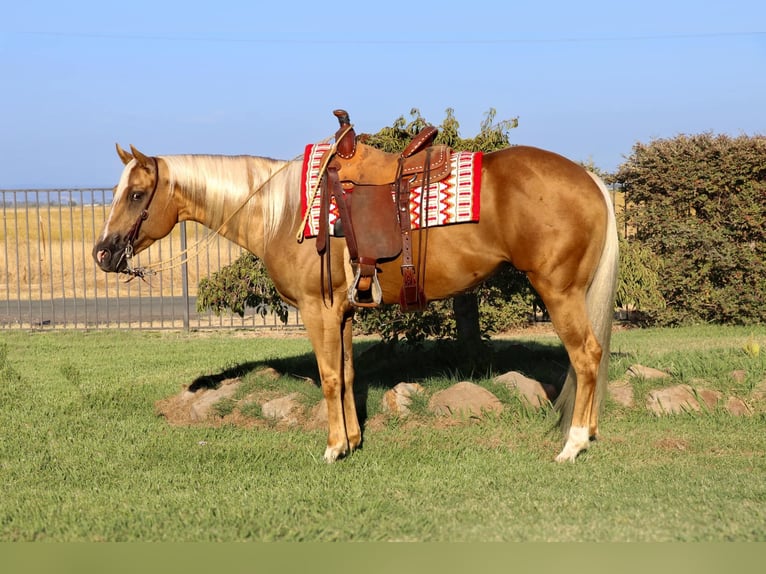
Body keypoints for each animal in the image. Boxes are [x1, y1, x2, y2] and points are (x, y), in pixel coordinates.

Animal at [93, 118, 618, 464]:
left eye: (136, 195)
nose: (102, 253)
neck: (282, 212)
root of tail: (591, 180)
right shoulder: (342, 312)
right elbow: (346, 374)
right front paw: (353, 440)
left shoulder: (317, 309)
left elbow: (328, 376)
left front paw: (333, 448)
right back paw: (589, 433)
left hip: (559, 290)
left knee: (587, 356)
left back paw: (573, 444)